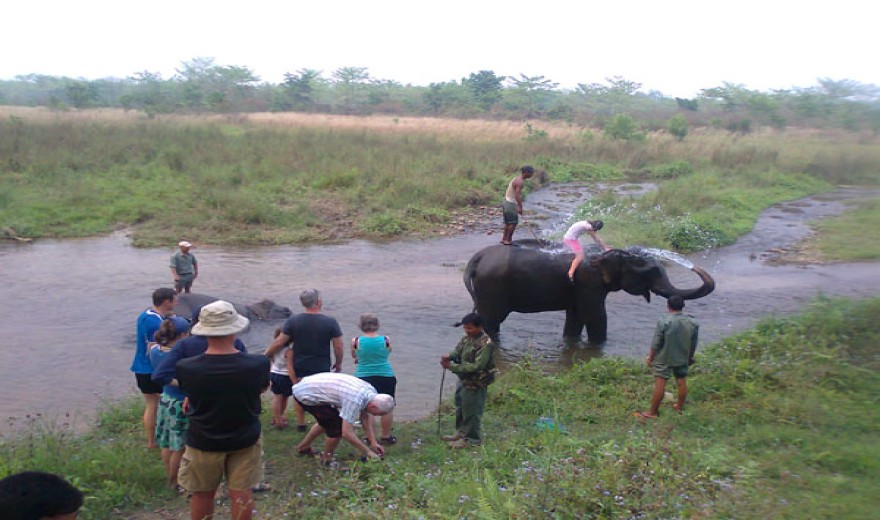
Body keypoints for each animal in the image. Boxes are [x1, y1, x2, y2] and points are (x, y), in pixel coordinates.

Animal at [463, 240, 715, 343]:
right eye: (651, 271)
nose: (694, 267)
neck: (611, 252)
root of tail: (477, 257)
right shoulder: (589, 282)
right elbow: (594, 316)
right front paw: (598, 346)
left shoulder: (578, 288)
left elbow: (576, 317)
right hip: (492, 287)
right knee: (491, 321)